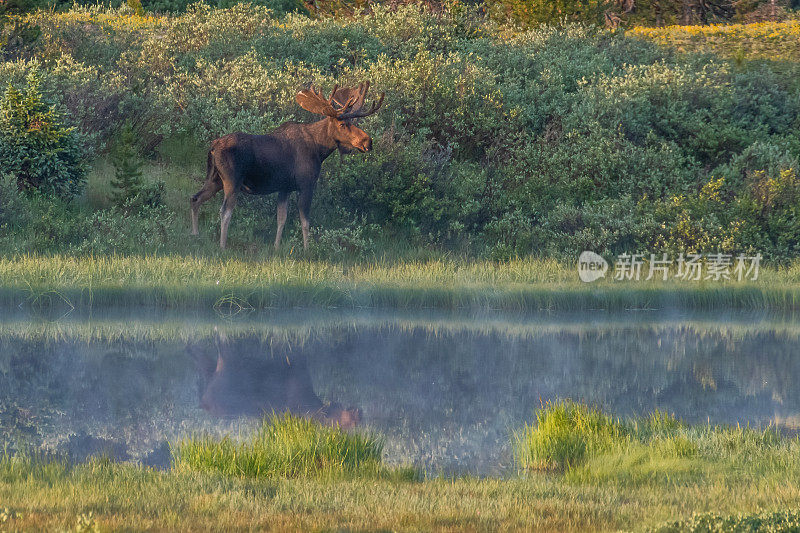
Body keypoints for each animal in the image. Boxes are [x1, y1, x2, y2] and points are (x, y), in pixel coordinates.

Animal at [191, 82, 384, 249]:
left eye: (355, 123)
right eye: (343, 124)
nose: (368, 141)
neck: (320, 150)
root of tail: (213, 146)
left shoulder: (285, 188)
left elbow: (281, 219)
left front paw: (276, 247)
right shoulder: (306, 185)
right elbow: (305, 222)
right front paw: (307, 249)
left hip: (214, 179)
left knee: (195, 198)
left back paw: (195, 234)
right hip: (232, 181)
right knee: (225, 211)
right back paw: (222, 246)